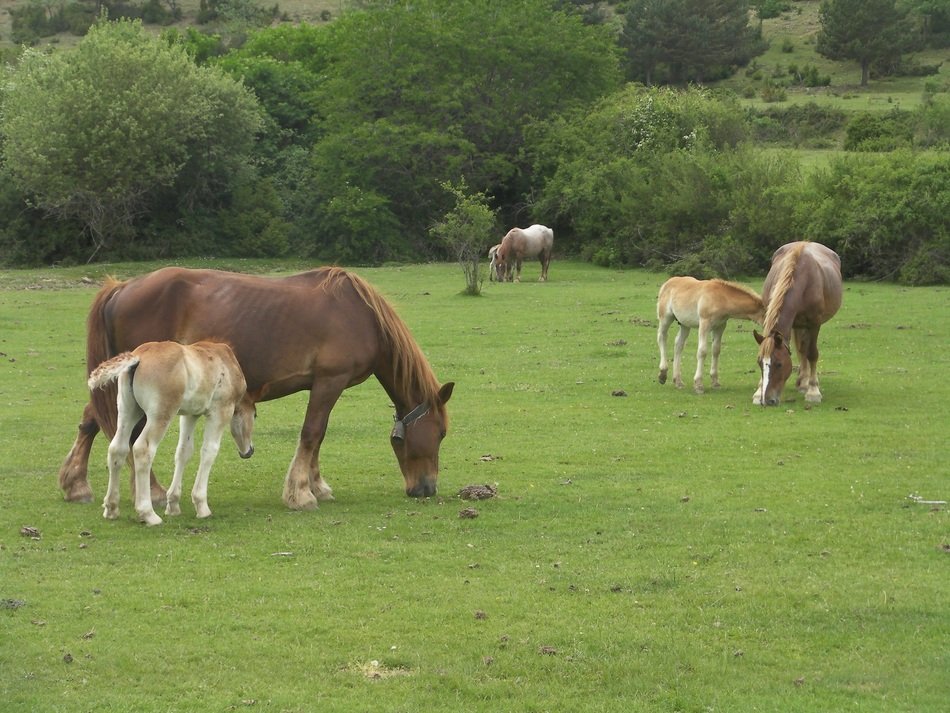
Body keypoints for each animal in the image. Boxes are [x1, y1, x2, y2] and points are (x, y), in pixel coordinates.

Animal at [88, 340, 255, 526]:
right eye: (254, 416)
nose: (249, 451)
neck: (226, 362)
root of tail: (138, 357)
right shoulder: (220, 411)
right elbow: (209, 451)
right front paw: (201, 506)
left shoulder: (190, 414)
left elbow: (183, 451)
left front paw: (173, 504)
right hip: (160, 415)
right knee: (143, 450)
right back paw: (148, 513)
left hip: (127, 412)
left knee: (117, 449)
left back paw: (111, 508)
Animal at [753, 241, 842, 406]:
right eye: (759, 363)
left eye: (779, 364)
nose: (768, 400)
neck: (803, 278)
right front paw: (758, 392)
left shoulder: (814, 324)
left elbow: (812, 354)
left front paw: (813, 391)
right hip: (797, 325)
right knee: (801, 350)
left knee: (805, 350)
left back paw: (806, 383)